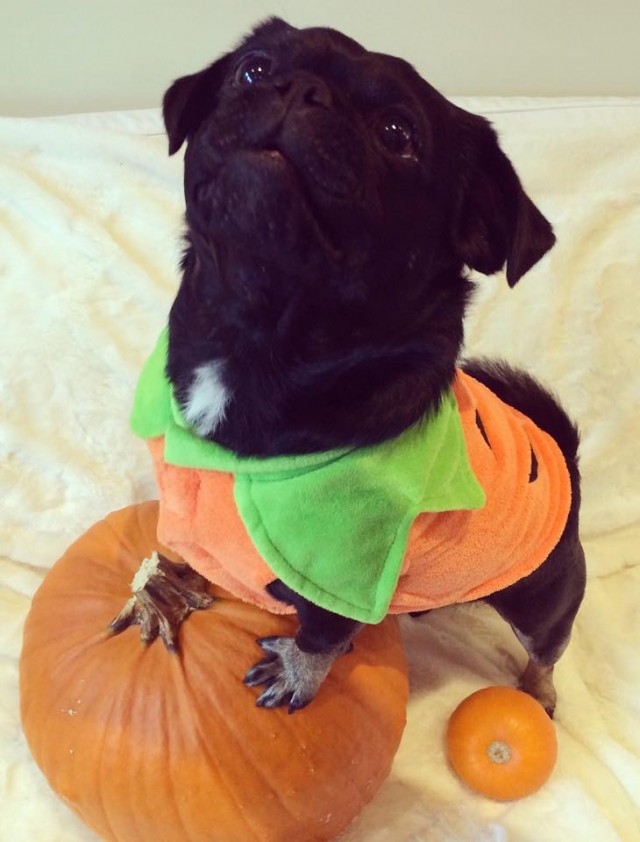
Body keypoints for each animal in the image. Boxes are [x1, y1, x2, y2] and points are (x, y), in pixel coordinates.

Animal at [134, 18, 584, 716]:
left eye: (397, 135)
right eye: (253, 69)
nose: (300, 88)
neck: (256, 331)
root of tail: (567, 458)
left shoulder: (344, 566)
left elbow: (323, 631)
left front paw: (298, 670)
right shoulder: (186, 501)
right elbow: (180, 547)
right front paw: (162, 589)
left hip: (544, 595)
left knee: (548, 649)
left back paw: (537, 693)